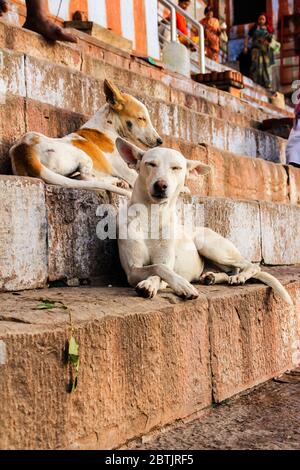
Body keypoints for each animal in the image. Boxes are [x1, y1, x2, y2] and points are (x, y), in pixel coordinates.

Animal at [9, 80, 162, 197]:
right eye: (141, 118)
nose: (160, 141)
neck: (108, 126)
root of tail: (24, 151)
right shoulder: (130, 172)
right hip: (82, 155)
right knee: (85, 177)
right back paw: (114, 181)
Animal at [115, 137, 292, 304]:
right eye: (150, 164)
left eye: (176, 168)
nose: (161, 185)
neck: (152, 215)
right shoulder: (132, 271)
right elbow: (158, 268)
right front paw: (179, 284)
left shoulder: (165, 262)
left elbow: (161, 269)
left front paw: (168, 284)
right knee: (230, 271)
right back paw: (214, 277)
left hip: (210, 246)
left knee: (251, 265)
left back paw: (238, 277)